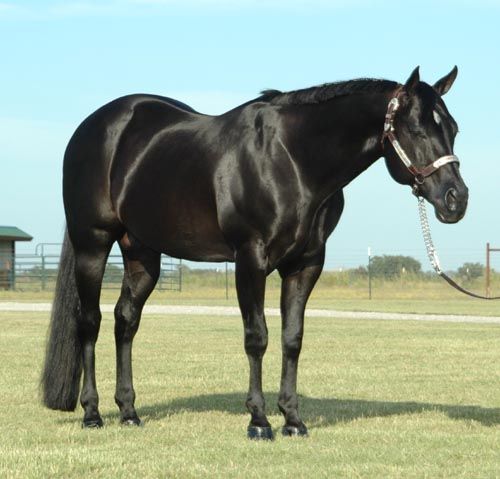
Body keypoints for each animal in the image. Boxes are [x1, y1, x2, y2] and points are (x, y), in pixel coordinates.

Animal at [43, 66, 468, 438]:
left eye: (453, 128)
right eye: (416, 129)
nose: (456, 199)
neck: (292, 159)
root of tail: (93, 127)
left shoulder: (305, 264)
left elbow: (292, 338)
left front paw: (293, 420)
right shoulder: (251, 258)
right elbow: (257, 337)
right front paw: (259, 421)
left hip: (143, 255)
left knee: (125, 321)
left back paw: (129, 412)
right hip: (93, 244)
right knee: (90, 322)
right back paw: (93, 413)